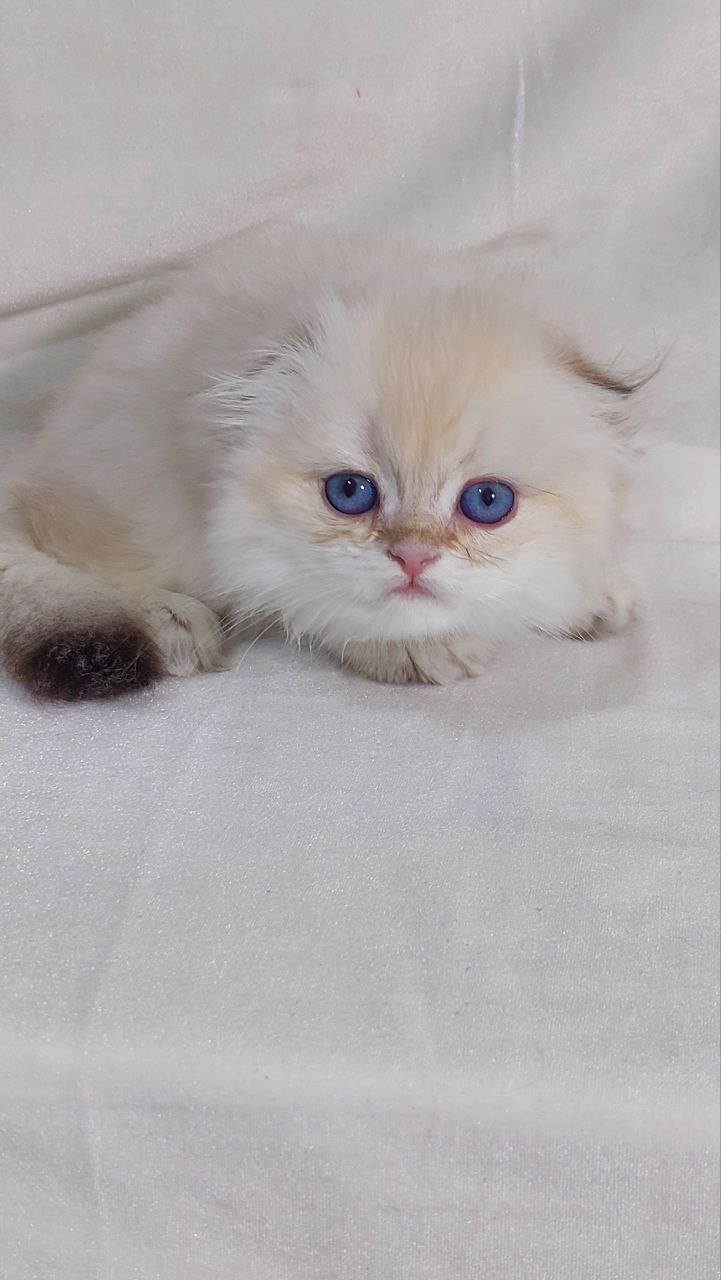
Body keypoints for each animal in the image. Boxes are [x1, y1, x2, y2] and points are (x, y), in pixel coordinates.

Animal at [0, 222, 642, 701]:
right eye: (351, 493)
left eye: (487, 502)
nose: (413, 559)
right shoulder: (243, 543)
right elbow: (325, 600)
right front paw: (418, 647)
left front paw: (587, 598)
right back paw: (171, 622)